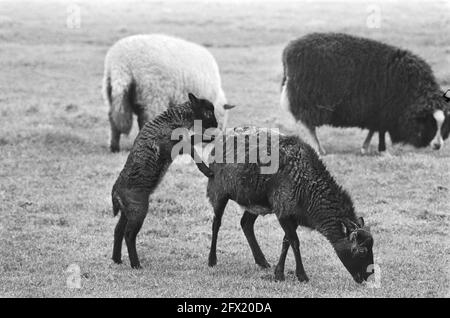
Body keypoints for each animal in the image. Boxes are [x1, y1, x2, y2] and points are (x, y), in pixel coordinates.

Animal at [102, 33, 232, 152]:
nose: (217, 138)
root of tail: (122, 63)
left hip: (112, 91)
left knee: (113, 119)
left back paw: (114, 147)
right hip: (154, 96)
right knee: (148, 119)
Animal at [111, 94, 219, 268]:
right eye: (208, 112)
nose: (216, 125)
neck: (175, 119)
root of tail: (115, 191)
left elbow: (193, 138)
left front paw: (209, 138)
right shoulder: (171, 146)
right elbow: (192, 149)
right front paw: (207, 171)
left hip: (127, 211)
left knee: (118, 230)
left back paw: (117, 259)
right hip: (138, 209)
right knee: (129, 234)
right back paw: (136, 265)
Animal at [202, 126, 374, 284]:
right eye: (361, 250)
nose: (368, 277)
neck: (308, 186)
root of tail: (223, 136)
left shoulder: (294, 215)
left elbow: (286, 242)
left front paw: (279, 274)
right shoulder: (283, 212)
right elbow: (295, 242)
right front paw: (302, 276)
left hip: (254, 201)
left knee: (246, 224)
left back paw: (262, 261)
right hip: (219, 189)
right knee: (216, 223)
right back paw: (212, 260)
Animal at [282, 33, 450, 155]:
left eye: (444, 124)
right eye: (429, 122)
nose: (437, 145)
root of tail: (289, 51)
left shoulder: (376, 113)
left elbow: (373, 129)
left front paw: (365, 148)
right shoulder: (381, 112)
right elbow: (375, 129)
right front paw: (370, 148)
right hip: (309, 103)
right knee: (310, 126)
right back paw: (319, 149)